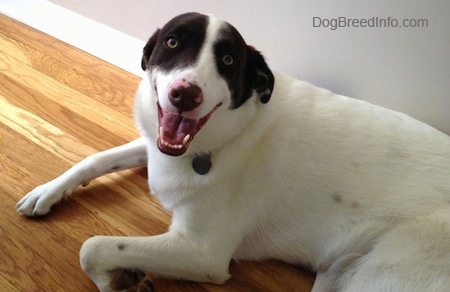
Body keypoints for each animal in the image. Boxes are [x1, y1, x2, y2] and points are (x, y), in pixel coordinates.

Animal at [15, 12, 450, 292]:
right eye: (172, 42)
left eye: (227, 60)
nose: (185, 95)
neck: (229, 135)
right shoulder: (156, 145)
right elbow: (95, 158)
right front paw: (47, 191)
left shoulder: (202, 252)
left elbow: (93, 246)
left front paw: (118, 279)